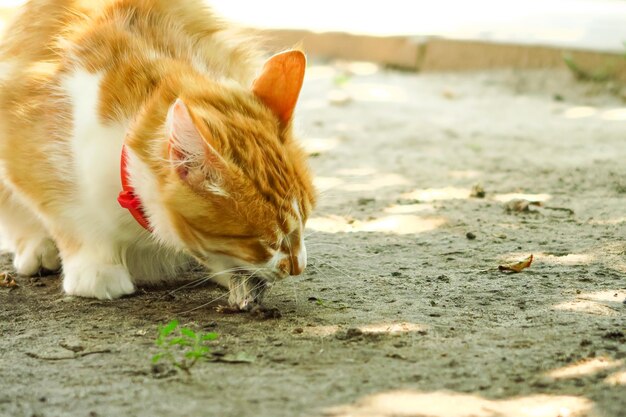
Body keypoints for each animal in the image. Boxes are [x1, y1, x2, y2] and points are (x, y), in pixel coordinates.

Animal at [0, 0, 314, 308]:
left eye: (305, 220)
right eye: (264, 242)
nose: (299, 267)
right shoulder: (27, 148)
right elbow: (73, 218)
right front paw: (98, 270)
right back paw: (38, 249)